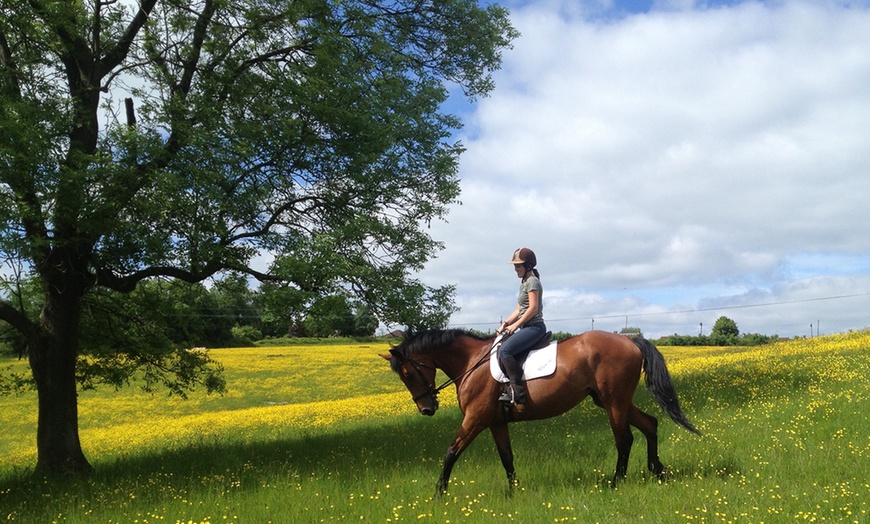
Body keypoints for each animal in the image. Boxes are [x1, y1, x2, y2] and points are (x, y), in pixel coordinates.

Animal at [382, 330, 700, 494]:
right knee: (650, 424)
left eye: (408, 373)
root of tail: (629, 340)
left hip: (614, 402)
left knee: (624, 439)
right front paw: (514, 491)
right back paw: (658, 470)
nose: (427, 409)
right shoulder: (495, 422)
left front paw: (439, 492)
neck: (472, 363)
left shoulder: (475, 419)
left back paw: (615, 483)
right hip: (609, 401)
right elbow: (507, 457)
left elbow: (451, 452)